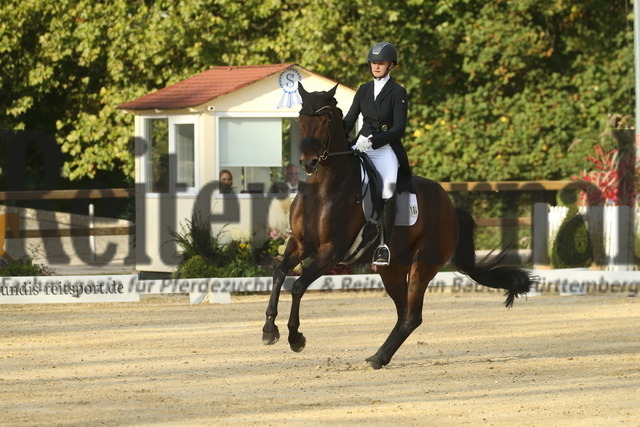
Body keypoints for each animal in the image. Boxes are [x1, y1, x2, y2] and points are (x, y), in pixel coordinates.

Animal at [260, 83, 536, 368]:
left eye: (325, 121)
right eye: (302, 120)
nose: (309, 162)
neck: (324, 188)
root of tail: (450, 207)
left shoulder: (332, 250)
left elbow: (299, 286)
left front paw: (296, 338)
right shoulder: (300, 243)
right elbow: (279, 274)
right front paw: (269, 330)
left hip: (423, 265)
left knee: (412, 315)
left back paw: (379, 357)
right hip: (392, 269)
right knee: (404, 312)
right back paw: (379, 356)